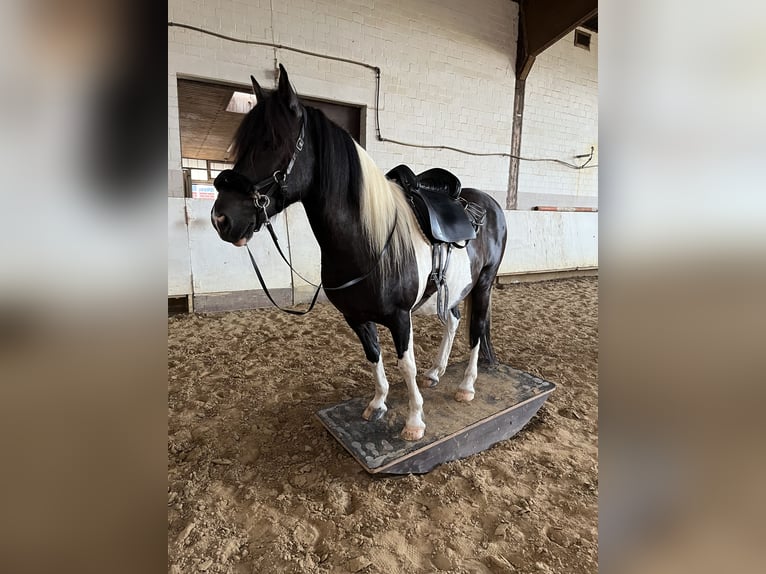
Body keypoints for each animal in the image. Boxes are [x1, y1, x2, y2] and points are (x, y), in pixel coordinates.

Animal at [212, 65, 510, 440]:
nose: (221, 219)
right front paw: (377, 403)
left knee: (476, 330)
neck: (368, 244)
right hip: (454, 289)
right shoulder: (354, 317)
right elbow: (373, 355)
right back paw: (437, 372)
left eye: (271, 142)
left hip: (483, 285)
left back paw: (466, 386)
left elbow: (406, 365)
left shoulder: (400, 317)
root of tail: (489, 204)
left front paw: (414, 421)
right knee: (454, 321)